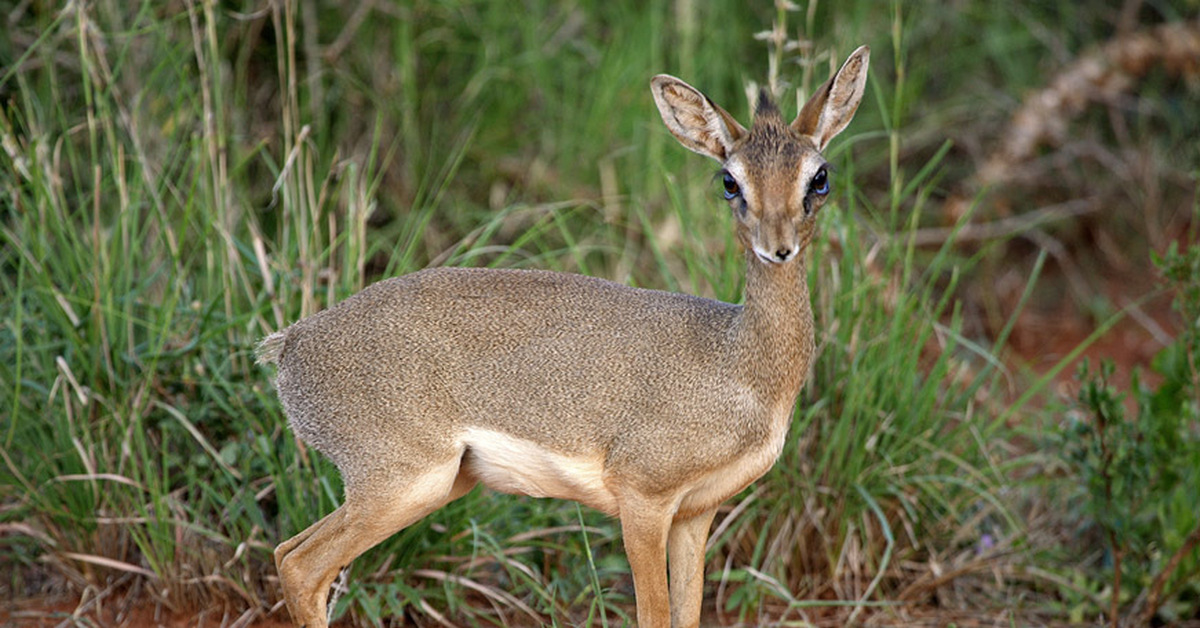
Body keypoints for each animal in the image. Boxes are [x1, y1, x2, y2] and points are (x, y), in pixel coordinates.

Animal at [258, 45, 868, 628]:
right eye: (729, 180)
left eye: (819, 176)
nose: (778, 247)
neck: (738, 360)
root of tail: (292, 343)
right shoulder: (643, 498)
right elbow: (653, 616)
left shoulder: (696, 512)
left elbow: (689, 614)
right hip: (403, 483)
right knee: (299, 564)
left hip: (435, 485)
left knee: (287, 552)